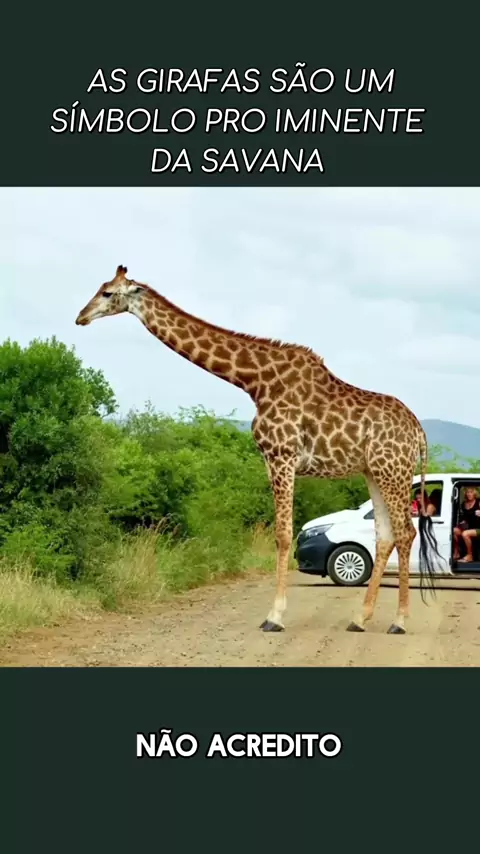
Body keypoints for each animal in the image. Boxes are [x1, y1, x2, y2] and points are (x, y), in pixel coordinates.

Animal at [75, 265, 445, 635]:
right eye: (100, 287)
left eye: (108, 293)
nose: (81, 317)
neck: (255, 381)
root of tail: (418, 432)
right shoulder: (271, 459)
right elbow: (283, 532)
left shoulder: (281, 455)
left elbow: (282, 534)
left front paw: (274, 616)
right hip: (373, 471)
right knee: (385, 536)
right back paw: (359, 618)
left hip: (392, 470)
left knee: (405, 532)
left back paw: (399, 621)